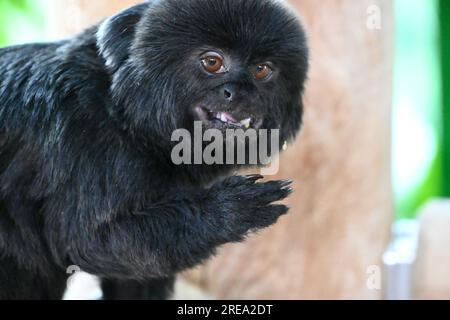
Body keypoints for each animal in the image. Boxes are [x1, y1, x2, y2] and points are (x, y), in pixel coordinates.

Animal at [0, 0, 308, 300]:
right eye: (212, 62)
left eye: (261, 70)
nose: (241, 94)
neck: (121, 112)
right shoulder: (80, 130)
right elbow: (87, 242)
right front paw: (228, 211)